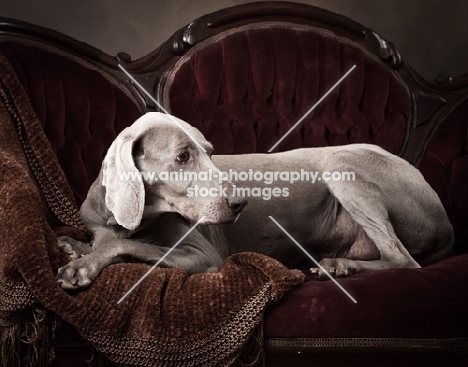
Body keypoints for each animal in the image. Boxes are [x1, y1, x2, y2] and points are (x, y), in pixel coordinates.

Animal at [54, 112, 454, 290]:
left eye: (211, 152)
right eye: (183, 157)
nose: (239, 203)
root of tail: (447, 224)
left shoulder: (203, 256)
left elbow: (126, 246)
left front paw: (83, 265)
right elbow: (105, 240)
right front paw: (77, 247)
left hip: (340, 164)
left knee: (403, 259)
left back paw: (336, 266)